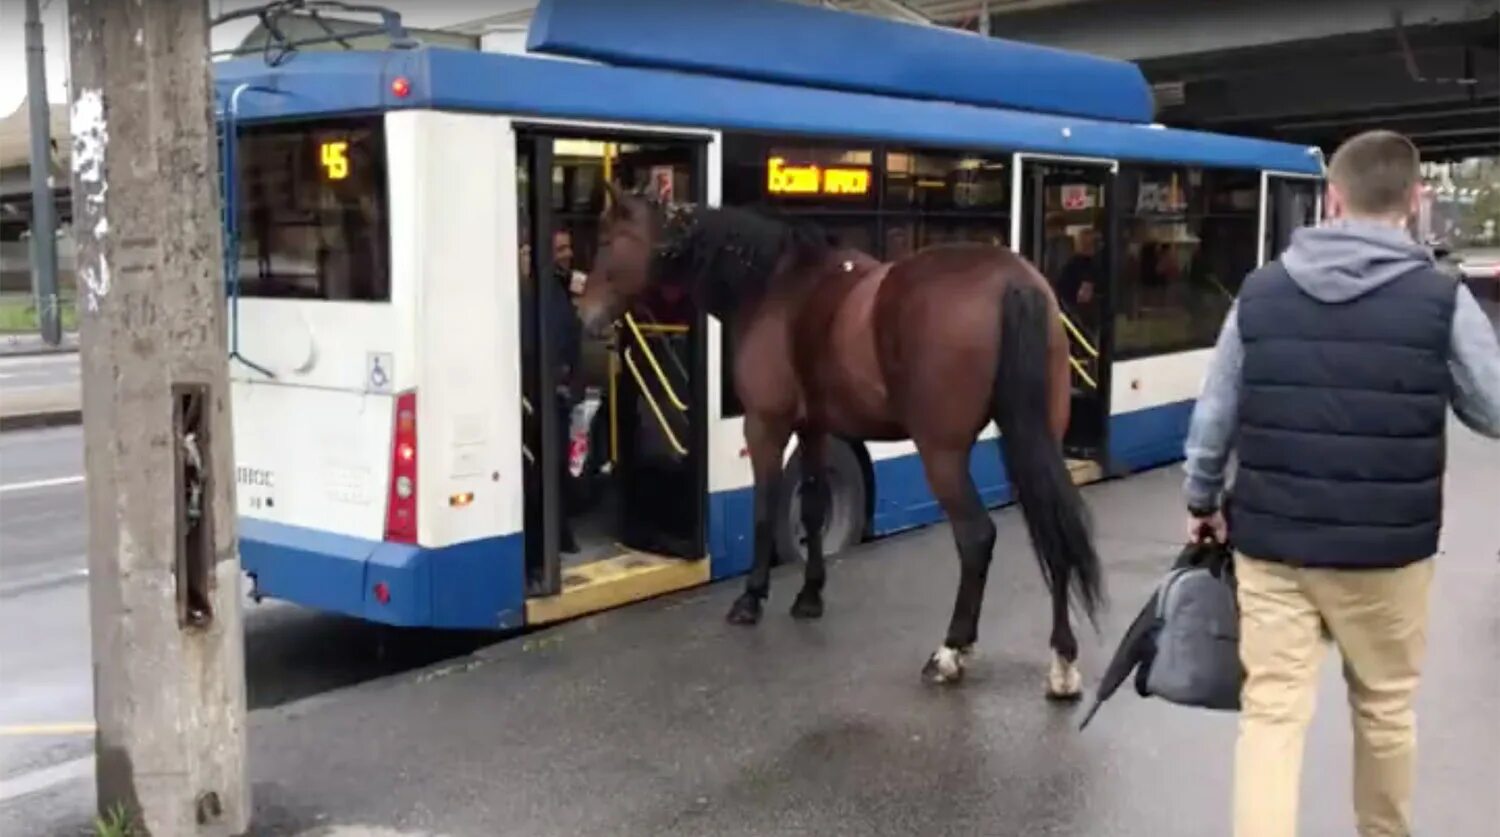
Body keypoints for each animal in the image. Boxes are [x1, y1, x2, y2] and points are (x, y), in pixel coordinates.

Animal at [579, 185, 1110, 696]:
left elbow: (765, 508)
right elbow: (813, 508)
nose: (585, 315)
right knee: (1053, 529)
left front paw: (752, 596)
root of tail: (1013, 282)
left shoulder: (765, 424)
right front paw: (810, 593)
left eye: (605, 240)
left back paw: (951, 651)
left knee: (977, 537)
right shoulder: (814, 426)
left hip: (942, 453)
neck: (774, 286)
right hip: (1036, 437)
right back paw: (1062, 661)